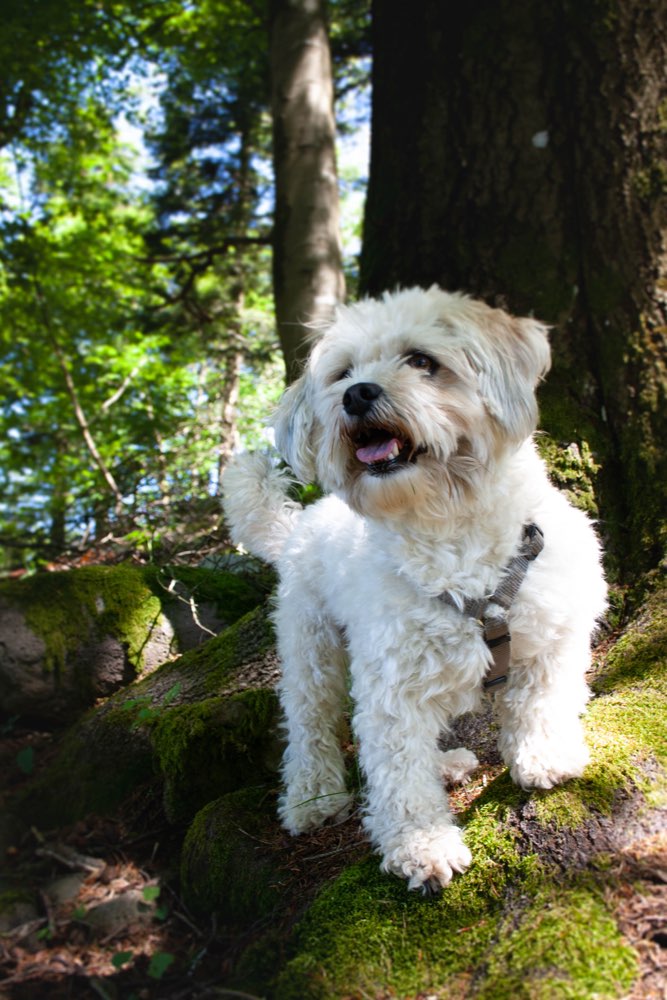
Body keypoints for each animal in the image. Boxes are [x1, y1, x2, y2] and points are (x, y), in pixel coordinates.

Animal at [222, 288, 608, 892]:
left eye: (422, 360)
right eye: (342, 373)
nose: (357, 394)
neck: (452, 531)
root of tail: (299, 526)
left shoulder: (554, 634)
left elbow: (541, 701)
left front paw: (544, 755)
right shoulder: (390, 687)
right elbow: (398, 774)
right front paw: (420, 846)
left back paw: (446, 765)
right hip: (311, 652)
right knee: (310, 728)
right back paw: (313, 798)